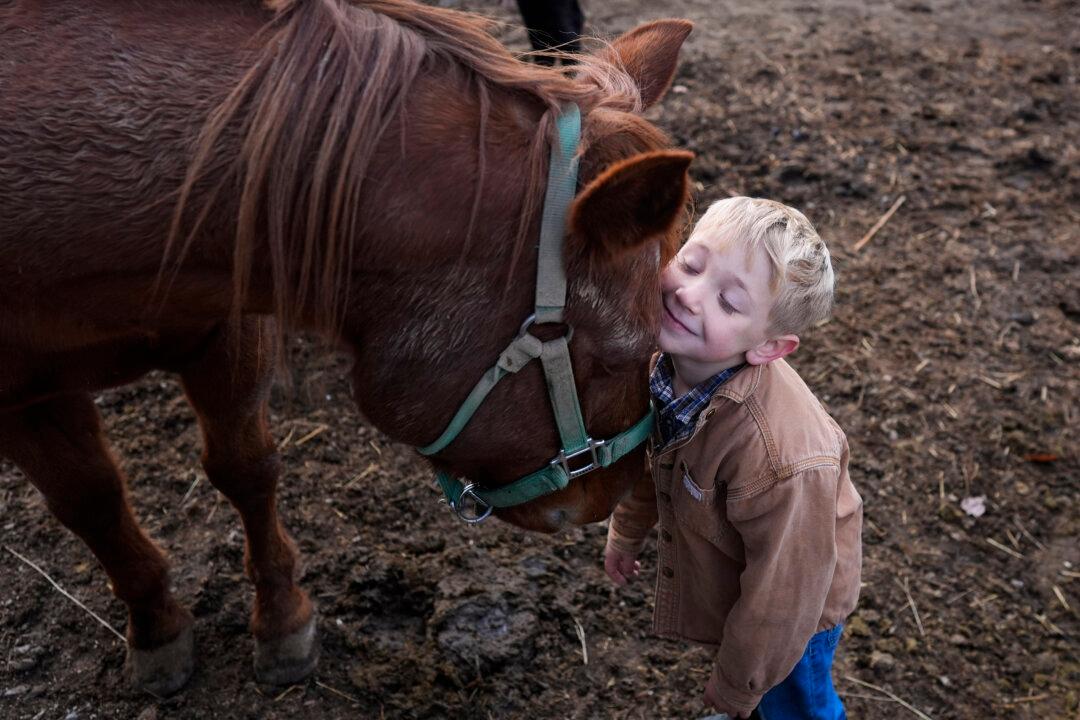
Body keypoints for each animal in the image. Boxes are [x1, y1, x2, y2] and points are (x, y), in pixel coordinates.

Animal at [0, 0, 691, 699]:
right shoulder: (23, 400)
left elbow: (244, 468)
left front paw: (279, 622)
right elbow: (92, 503)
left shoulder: (228, 326)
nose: (612, 497)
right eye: (618, 356)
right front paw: (158, 627)